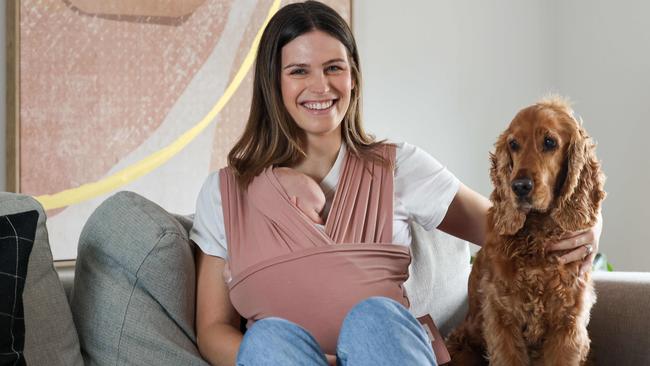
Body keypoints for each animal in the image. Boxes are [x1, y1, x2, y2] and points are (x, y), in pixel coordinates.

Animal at [442, 96, 604, 364]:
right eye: (514, 144)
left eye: (549, 142)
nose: (519, 186)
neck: (538, 237)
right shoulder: (502, 318)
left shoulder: (567, 325)